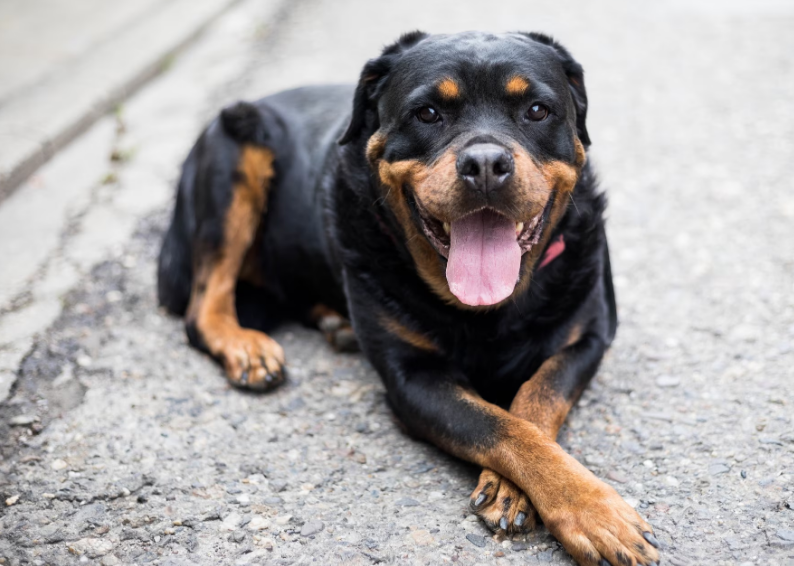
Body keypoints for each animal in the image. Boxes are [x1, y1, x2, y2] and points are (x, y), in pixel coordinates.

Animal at [158, 30, 660, 566]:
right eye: (428, 113)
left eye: (538, 110)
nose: (486, 163)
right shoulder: (412, 378)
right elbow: (502, 426)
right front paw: (593, 511)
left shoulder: (587, 339)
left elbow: (536, 400)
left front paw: (532, 492)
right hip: (234, 153)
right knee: (204, 304)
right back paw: (247, 347)